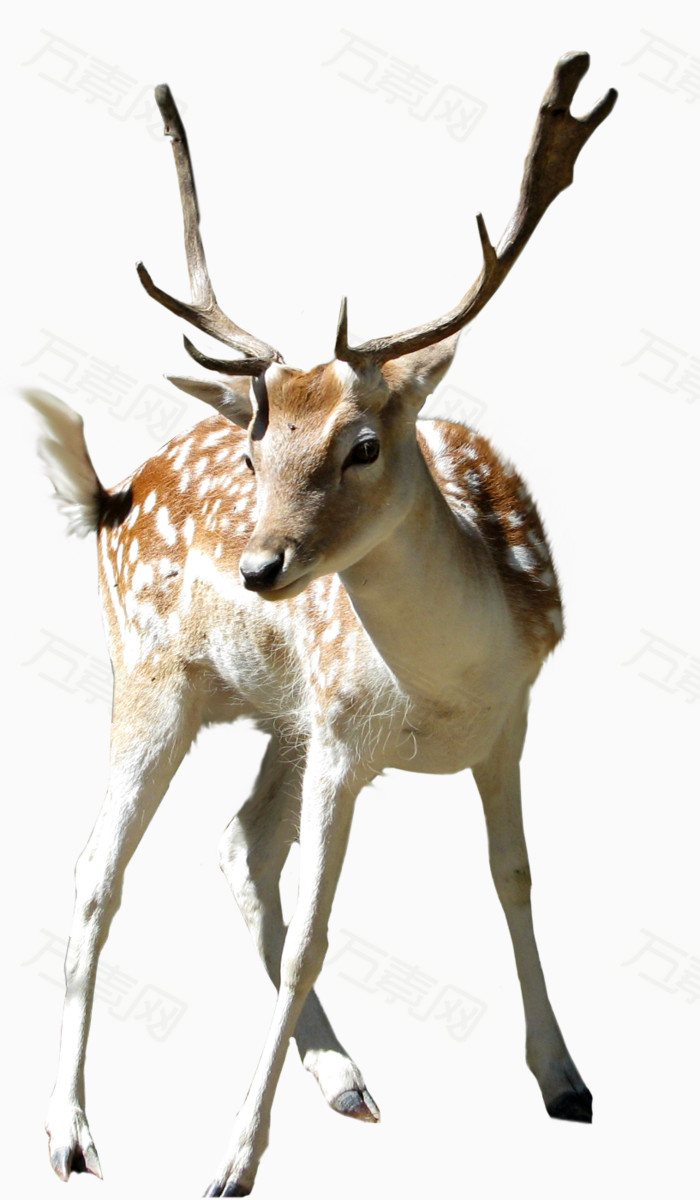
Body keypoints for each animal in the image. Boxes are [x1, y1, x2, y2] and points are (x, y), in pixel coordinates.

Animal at [27, 52, 615, 1196]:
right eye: (256, 453)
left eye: (363, 445)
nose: (260, 566)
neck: (444, 687)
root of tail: (113, 495)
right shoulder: (345, 738)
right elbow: (313, 935)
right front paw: (231, 1161)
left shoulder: (508, 721)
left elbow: (515, 878)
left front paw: (565, 1080)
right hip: (152, 679)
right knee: (95, 874)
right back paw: (70, 1135)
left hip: (277, 716)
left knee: (235, 845)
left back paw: (342, 1077)